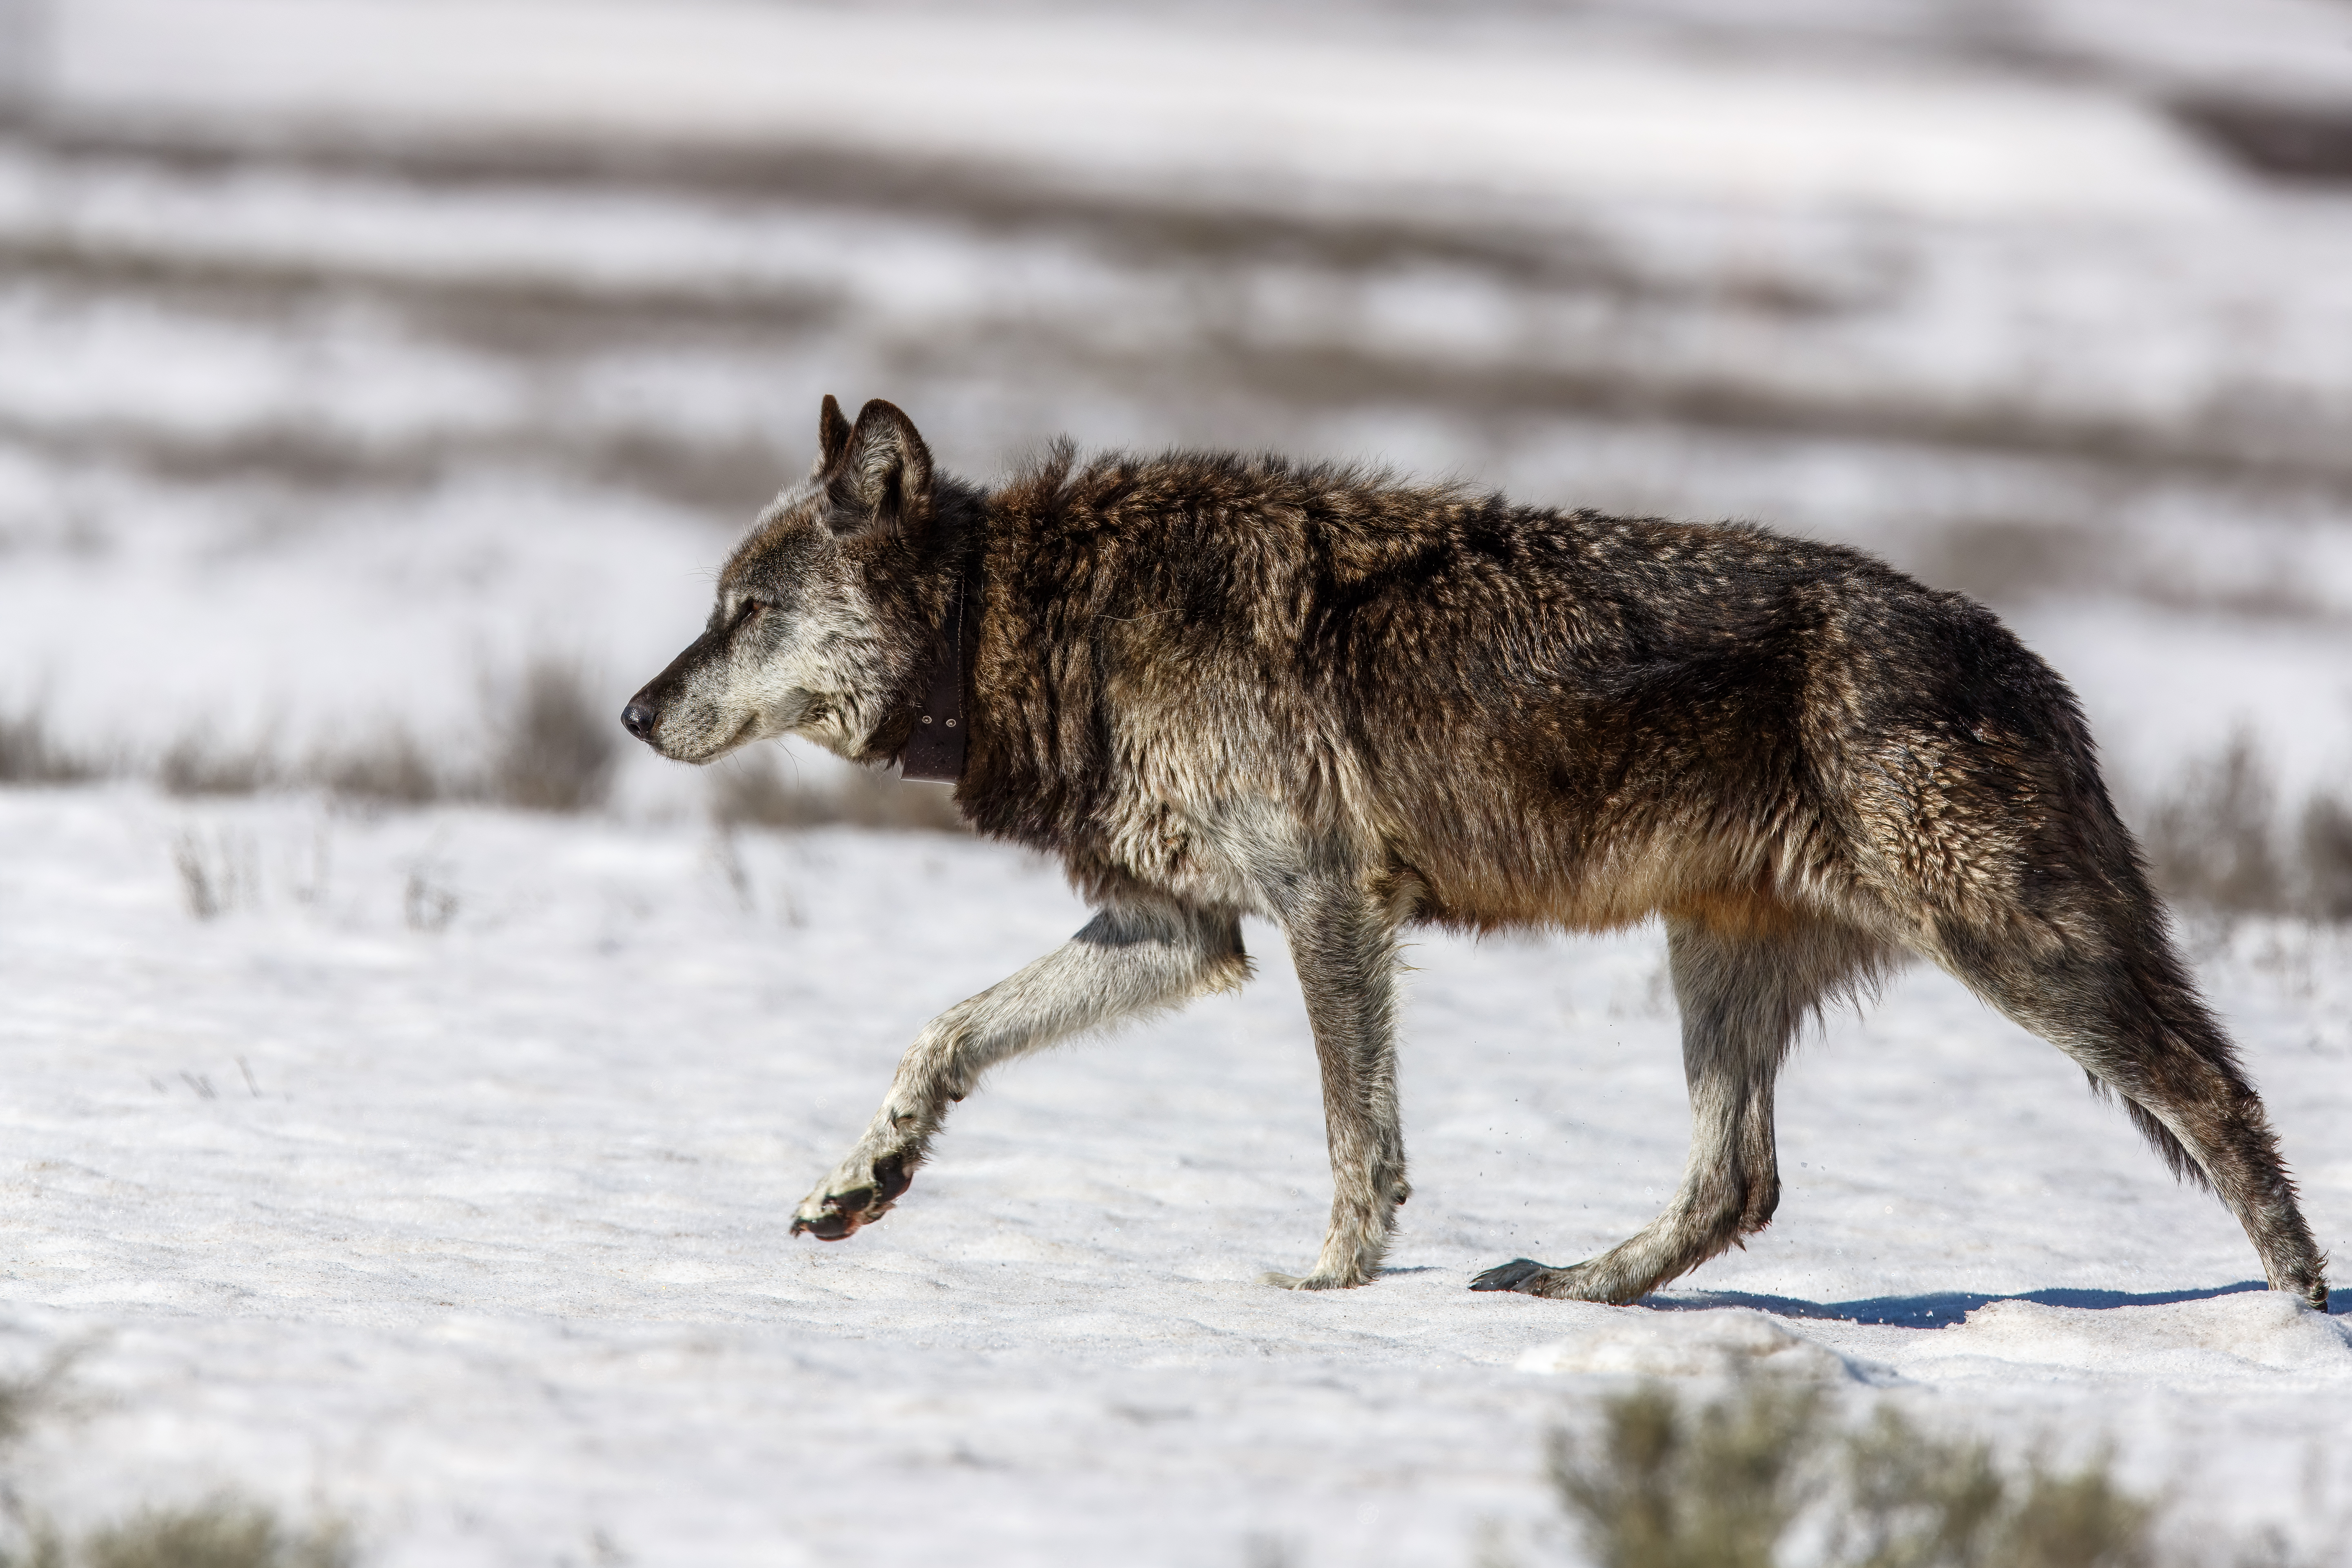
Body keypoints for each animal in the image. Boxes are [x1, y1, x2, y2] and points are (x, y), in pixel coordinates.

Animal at [626, 395, 2333, 1316]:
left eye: (743, 614)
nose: (636, 712)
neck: (1038, 622)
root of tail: (2025, 658)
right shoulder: (1189, 934)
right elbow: (944, 1035)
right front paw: (860, 1183)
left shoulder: (1327, 904)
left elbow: (1353, 1141)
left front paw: (1326, 1290)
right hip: (1715, 964)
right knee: (1739, 1183)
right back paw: (1571, 1289)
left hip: (2019, 957)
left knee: (2221, 1097)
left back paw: (2296, 1317)